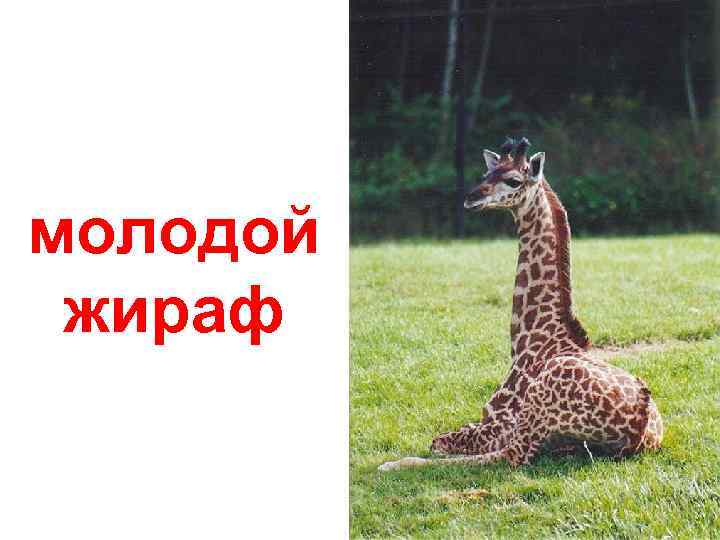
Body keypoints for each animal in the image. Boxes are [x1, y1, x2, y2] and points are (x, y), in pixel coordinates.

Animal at [379, 138, 663, 471]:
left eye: (513, 180)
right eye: (486, 173)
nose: (471, 197)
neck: (530, 338)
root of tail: (639, 428)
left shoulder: (498, 424)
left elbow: (440, 442)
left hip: (535, 413)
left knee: (508, 457)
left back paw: (393, 464)